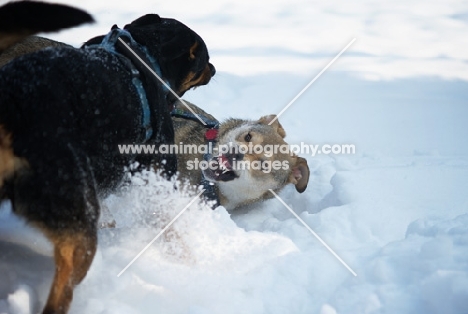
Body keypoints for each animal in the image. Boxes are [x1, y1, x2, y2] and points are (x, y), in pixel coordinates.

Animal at [0, 1, 216, 312]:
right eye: (204, 59)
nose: (214, 68)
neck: (144, 53)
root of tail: (13, 102)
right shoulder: (156, 177)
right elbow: (168, 227)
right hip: (78, 220)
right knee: (63, 288)